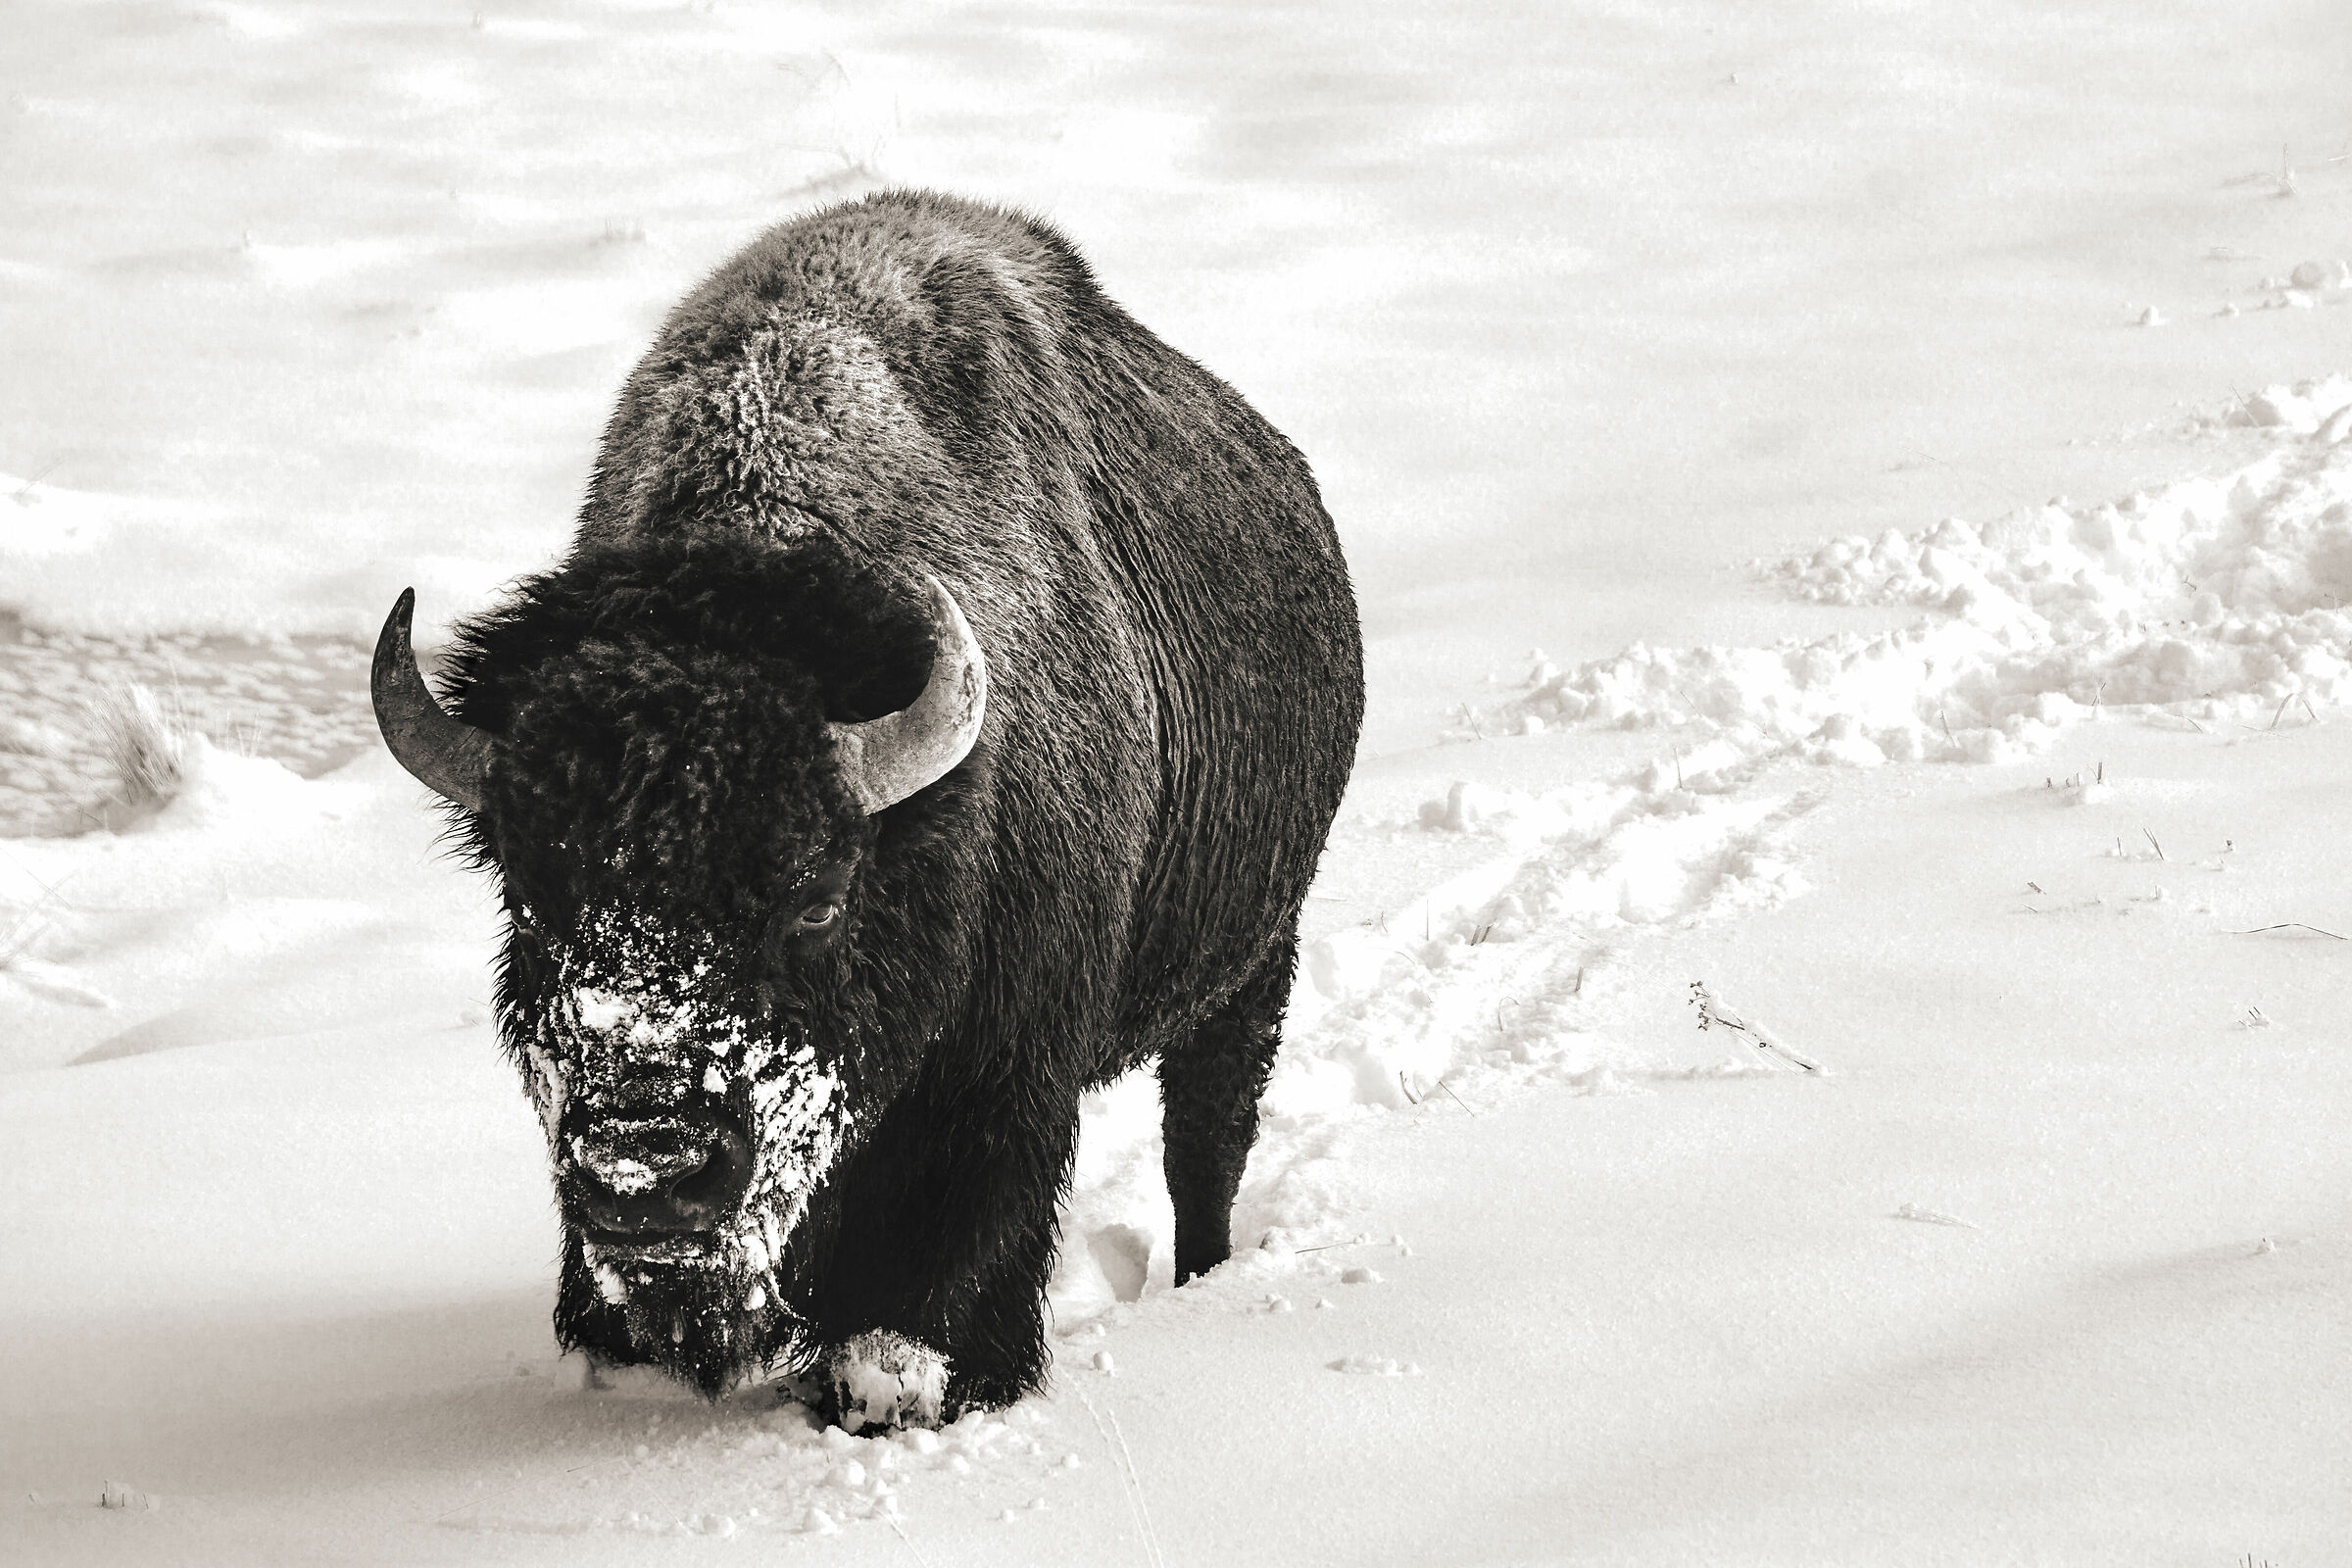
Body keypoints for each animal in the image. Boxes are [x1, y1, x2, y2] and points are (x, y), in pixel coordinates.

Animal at [372, 189, 1363, 1429]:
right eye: (531, 899)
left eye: (816, 897)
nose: (649, 1162)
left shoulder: (1003, 1080)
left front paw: (922, 1383)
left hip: (1252, 967)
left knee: (1207, 1146)